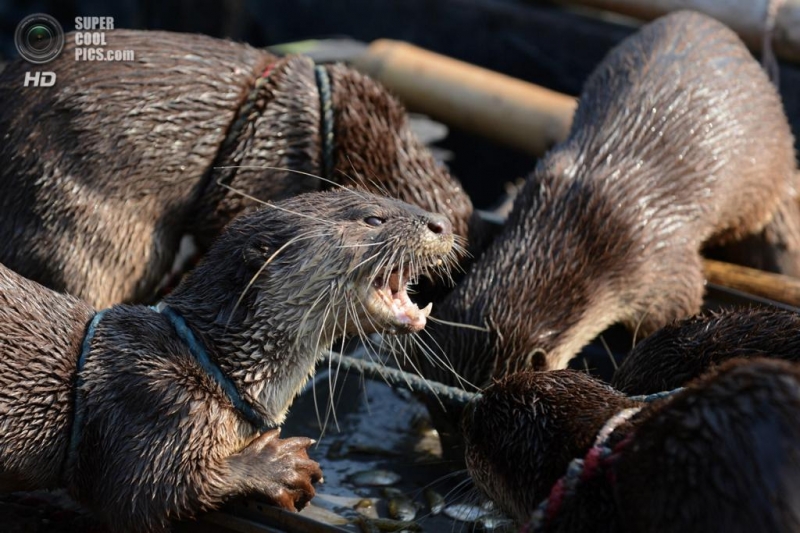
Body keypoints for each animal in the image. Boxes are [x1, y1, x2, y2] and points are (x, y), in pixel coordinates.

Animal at [0, 189, 454, 528]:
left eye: (390, 196)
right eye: (373, 219)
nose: (442, 223)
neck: (208, 365)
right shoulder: (157, 403)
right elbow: (145, 492)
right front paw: (278, 465)